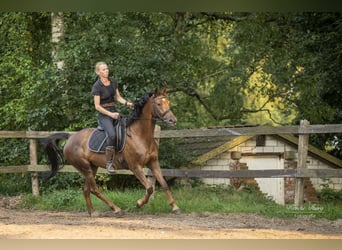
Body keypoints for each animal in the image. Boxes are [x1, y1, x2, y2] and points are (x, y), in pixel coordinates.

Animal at [43, 88, 179, 217]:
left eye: (168, 102)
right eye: (158, 104)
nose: (173, 120)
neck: (139, 135)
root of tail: (71, 137)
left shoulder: (153, 163)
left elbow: (164, 184)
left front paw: (175, 207)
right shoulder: (135, 167)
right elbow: (150, 188)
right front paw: (139, 203)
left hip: (92, 167)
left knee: (86, 189)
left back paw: (92, 212)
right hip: (85, 167)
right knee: (95, 189)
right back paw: (116, 209)